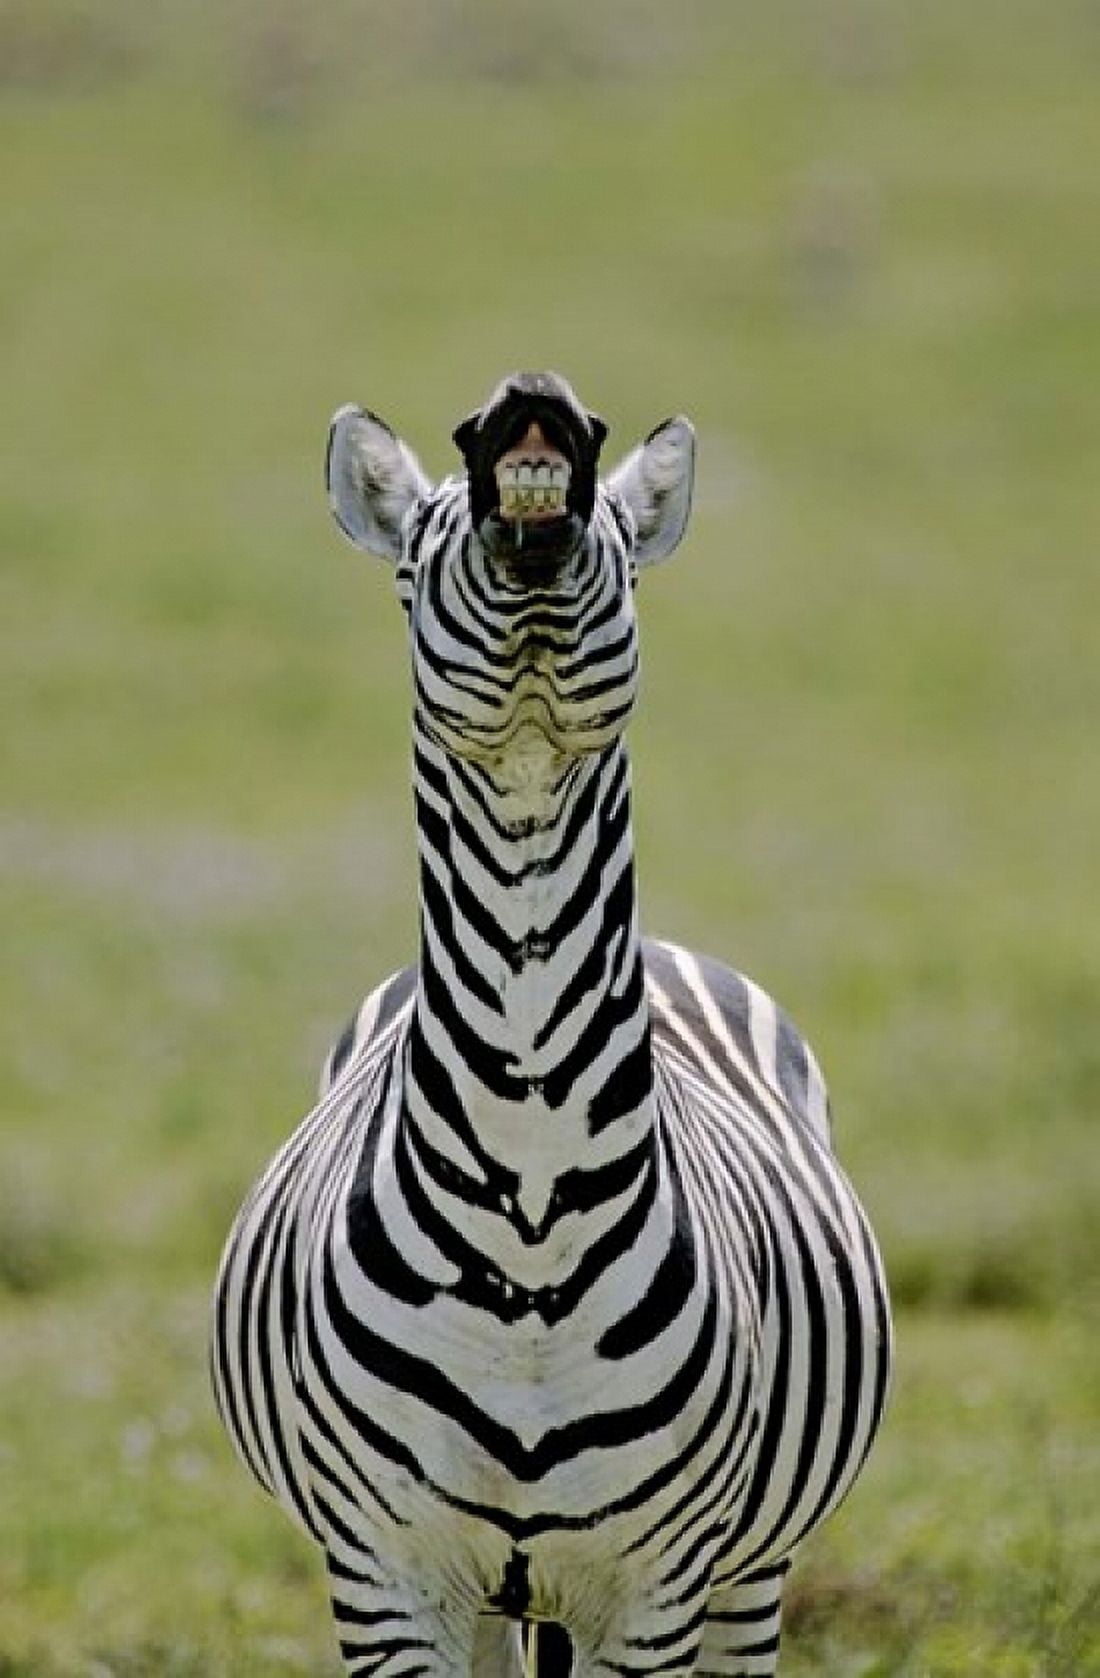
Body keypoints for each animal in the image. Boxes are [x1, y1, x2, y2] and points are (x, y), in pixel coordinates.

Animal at [211, 370, 891, 1678]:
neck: (529, 1207)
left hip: (747, 1573)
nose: (531, 394)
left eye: (622, 546)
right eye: (411, 559)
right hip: (490, 1600)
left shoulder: (655, 1589)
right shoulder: (383, 1580)